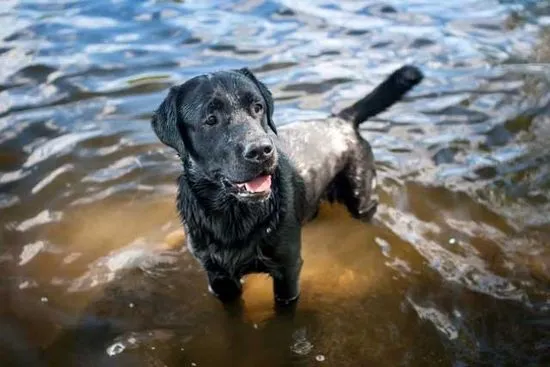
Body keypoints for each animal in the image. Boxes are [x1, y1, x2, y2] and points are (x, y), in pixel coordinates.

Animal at [153, 65, 424, 304]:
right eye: (210, 119)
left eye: (258, 107)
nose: (261, 150)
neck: (234, 216)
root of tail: (341, 120)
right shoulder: (219, 278)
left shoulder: (288, 269)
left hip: (361, 196)